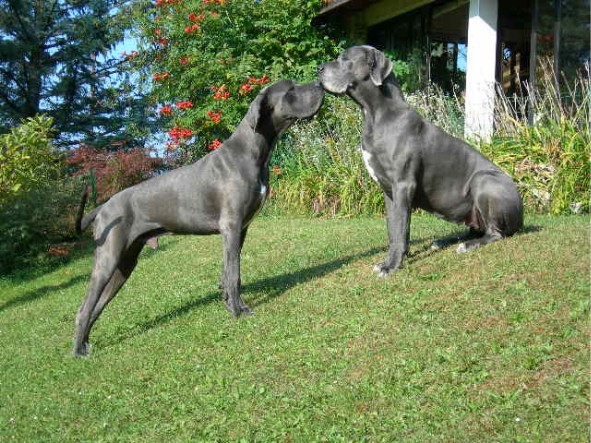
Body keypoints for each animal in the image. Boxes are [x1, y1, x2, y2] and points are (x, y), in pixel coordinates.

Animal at [73, 80, 324, 357]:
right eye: (290, 90)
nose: (319, 83)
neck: (252, 150)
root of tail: (102, 207)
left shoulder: (241, 229)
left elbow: (228, 272)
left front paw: (231, 304)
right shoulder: (231, 226)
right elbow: (234, 273)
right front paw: (237, 312)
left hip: (125, 264)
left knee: (96, 306)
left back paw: (86, 343)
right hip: (108, 258)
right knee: (84, 308)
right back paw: (78, 351)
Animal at [318, 46, 523, 276]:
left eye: (345, 59)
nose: (319, 69)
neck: (376, 114)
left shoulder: (403, 184)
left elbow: (401, 228)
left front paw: (391, 266)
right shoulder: (389, 191)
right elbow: (395, 229)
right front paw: (393, 259)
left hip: (484, 181)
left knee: (496, 233)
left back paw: (469, 245)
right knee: (475, 229)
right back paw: (445, 241)